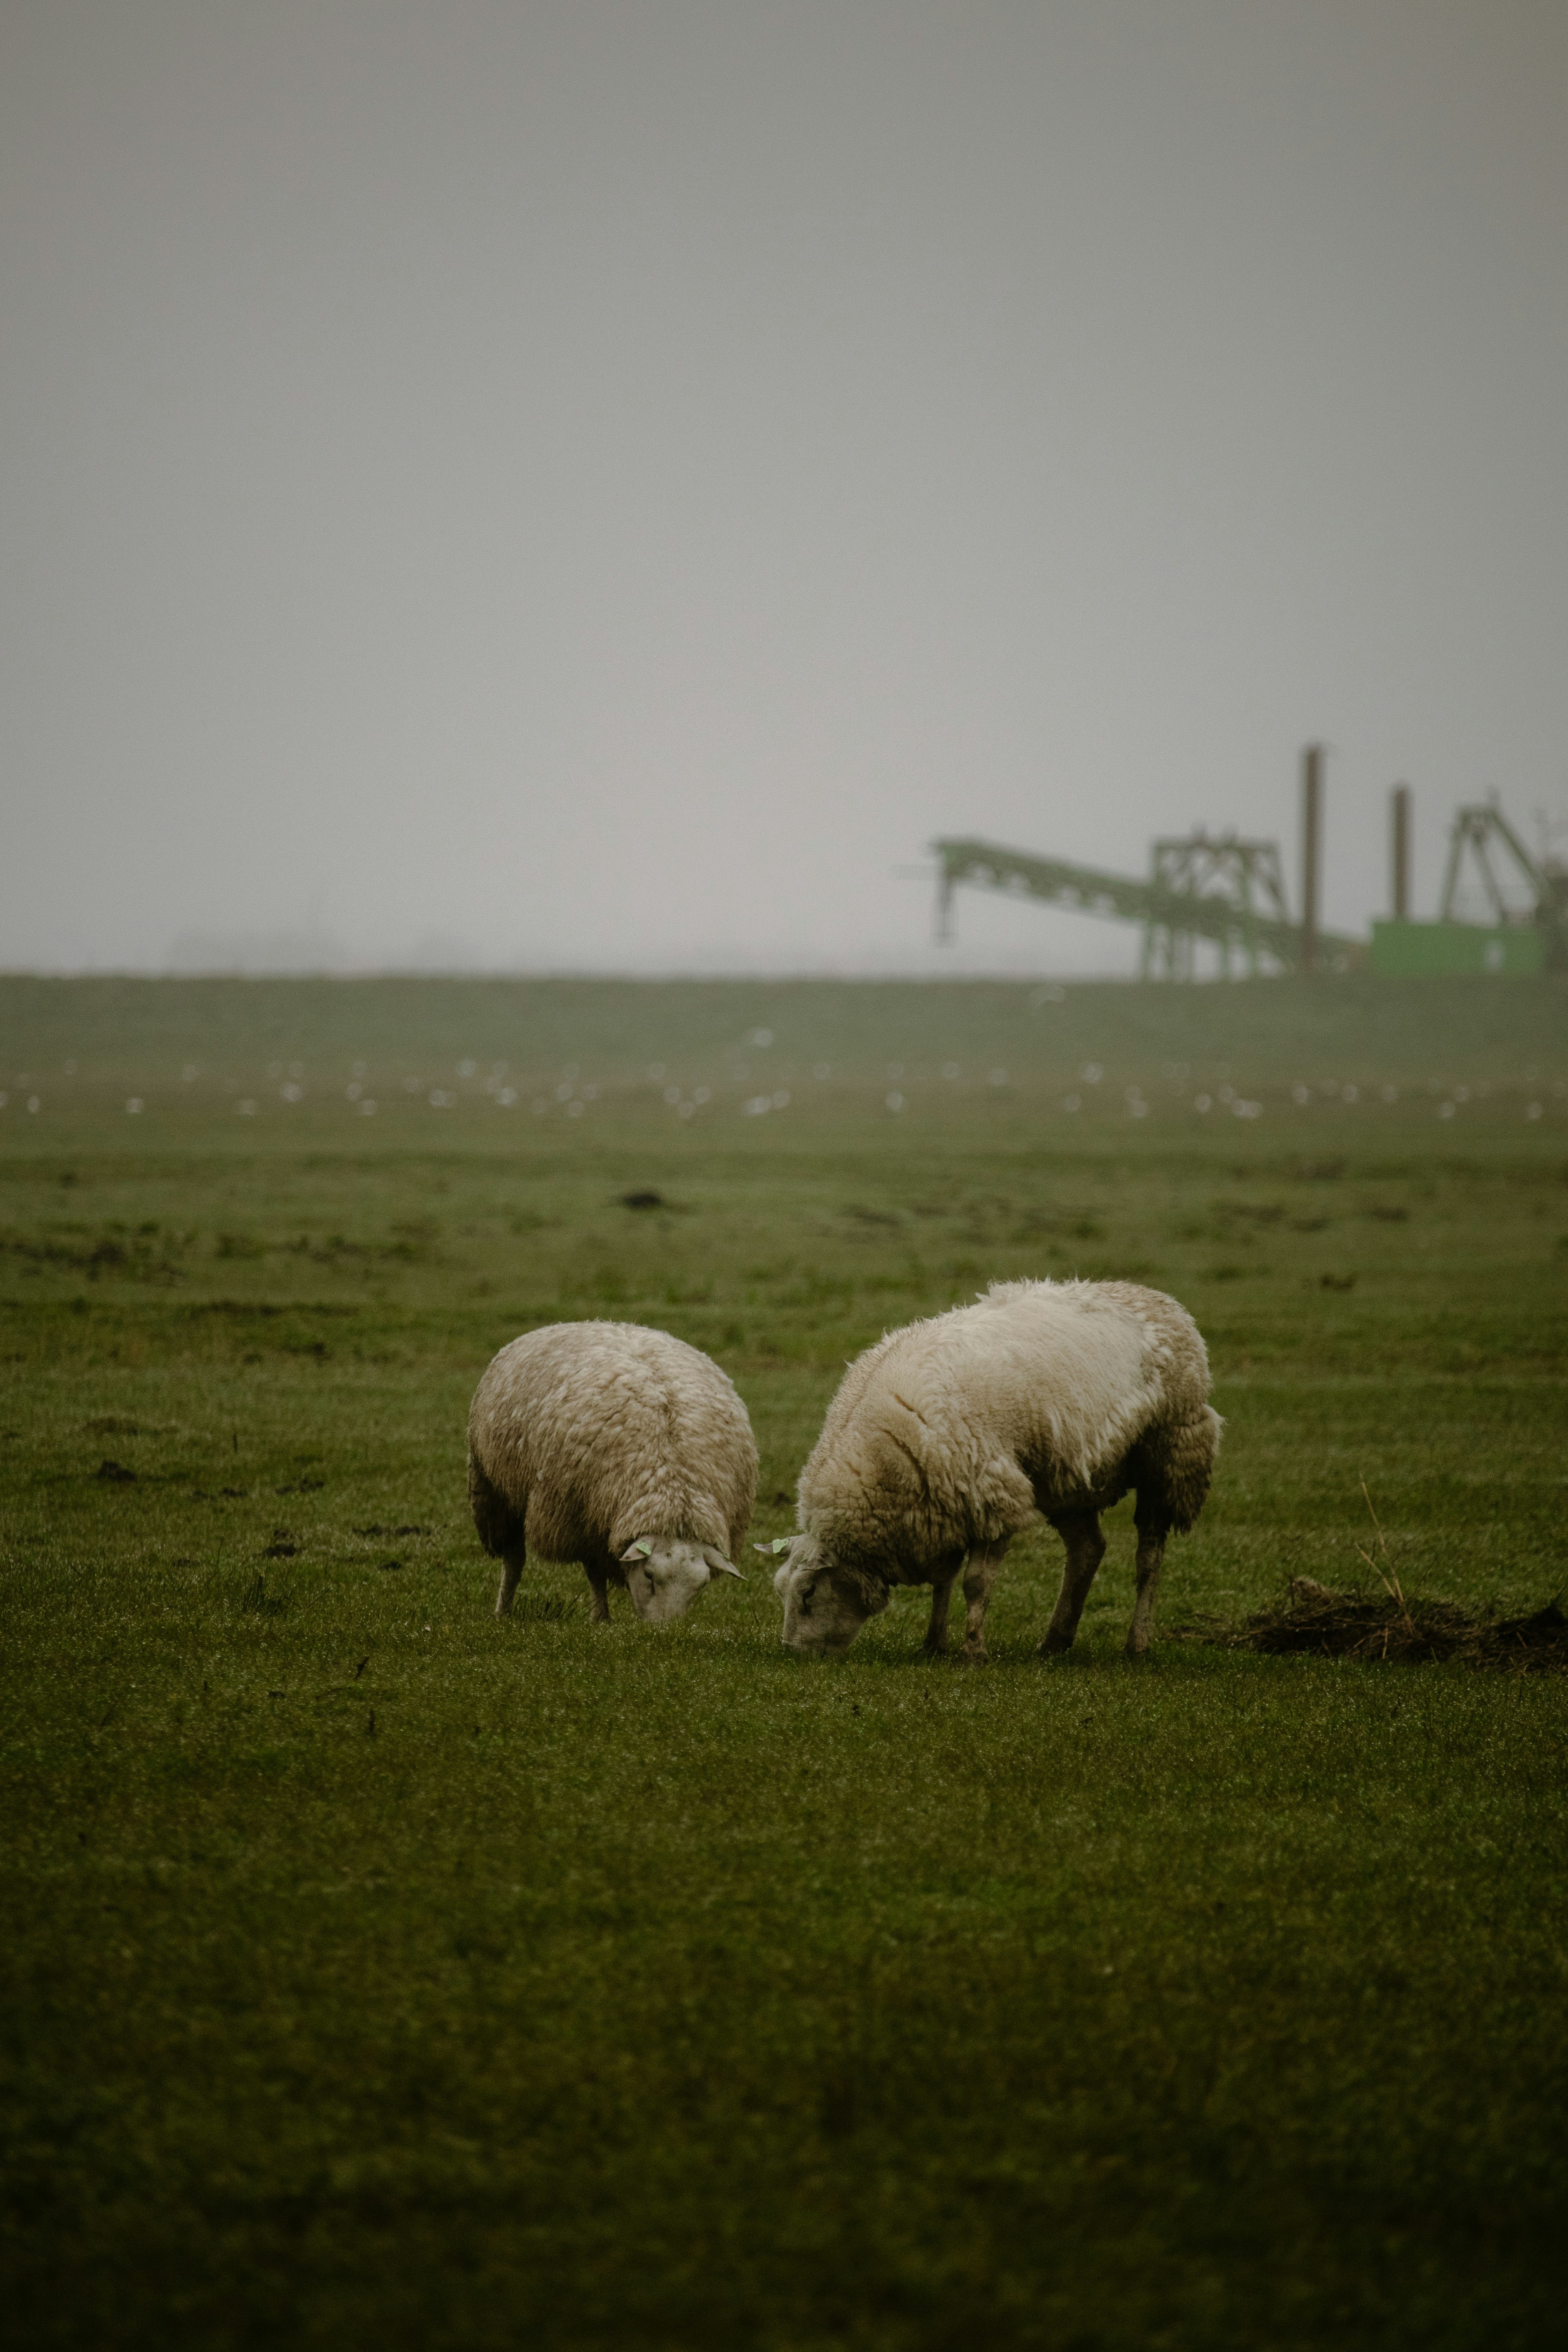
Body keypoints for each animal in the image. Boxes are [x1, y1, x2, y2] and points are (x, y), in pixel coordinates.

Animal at [468, 1320, 757, 1624]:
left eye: (700, 1586)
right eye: (649, 1576)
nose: (664, 1631)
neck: (672, 1485)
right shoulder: (582, 1517)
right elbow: (595, 1573)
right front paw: (601, 1619)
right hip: (493, 1489)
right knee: (514, 1558)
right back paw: (503, 1610)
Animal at [769, 1278, 1219, 1662]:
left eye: (807, 1593)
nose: (793, 1653)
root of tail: (1159, 1298)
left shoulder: (990, 1494)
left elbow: (974, 1583)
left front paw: (973, 1651)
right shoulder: (940, 1505)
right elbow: (943, 1581)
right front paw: (933, 1644)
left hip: (1171, 1451)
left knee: (1149, 1556)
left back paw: (1136, 1643)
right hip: (1063, 1477)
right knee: (1087, 1549)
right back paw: (1055, 1641)